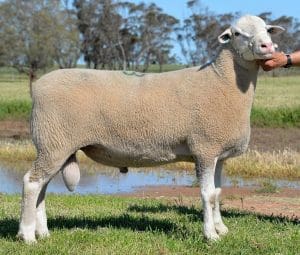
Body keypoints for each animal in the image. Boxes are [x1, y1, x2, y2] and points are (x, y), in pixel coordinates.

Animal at [17, 14, 284, 242]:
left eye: (266, 29)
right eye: (237, 33)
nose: (268, 47)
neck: (222, 81)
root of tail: (37, 86)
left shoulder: (218, 153)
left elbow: (217, 193)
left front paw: (221, 228)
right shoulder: (205, 148)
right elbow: (207, 195)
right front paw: (210, 235)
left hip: (55, 145)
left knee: (42, 187)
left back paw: (44, 233)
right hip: (54, 141)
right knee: (32, 183)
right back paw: (27, 236)